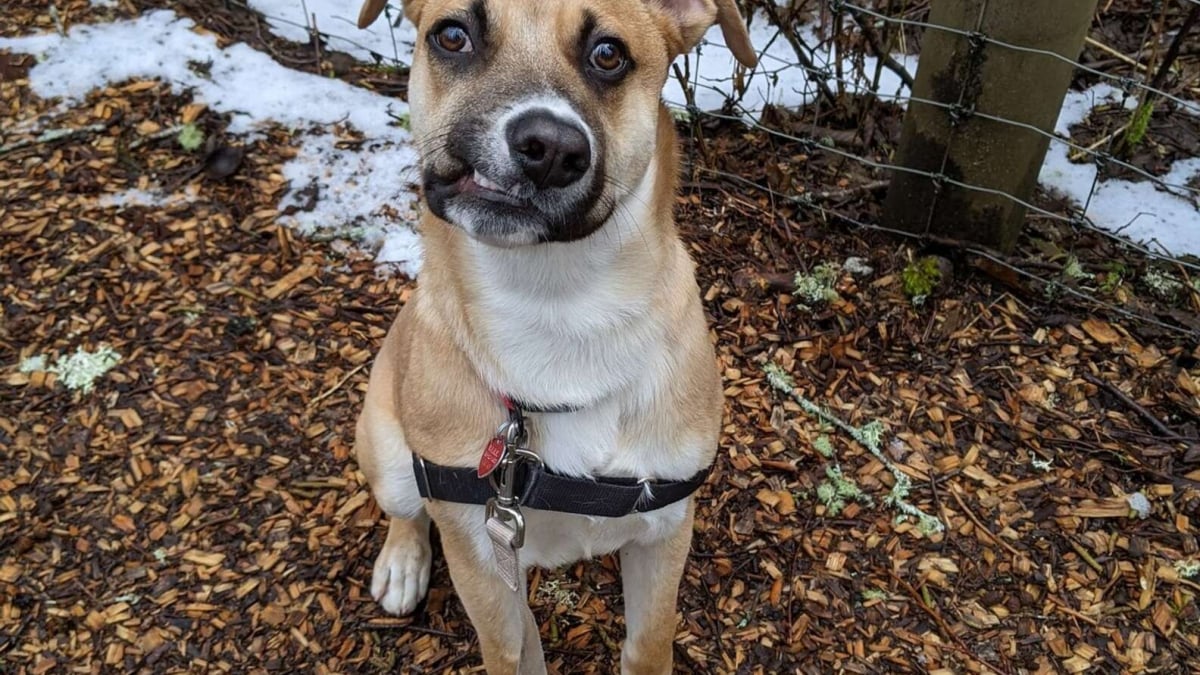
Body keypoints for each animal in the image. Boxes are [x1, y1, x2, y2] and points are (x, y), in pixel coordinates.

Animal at [350, 1, 753, 667]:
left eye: (609, 54)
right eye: (452, 35)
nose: (549, 146)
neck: (559, 309)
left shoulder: (665, 532)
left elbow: (649, 646)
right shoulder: (483, 562)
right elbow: (513, 652)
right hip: (388, 452)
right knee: (406, 512)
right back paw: (403, 564)